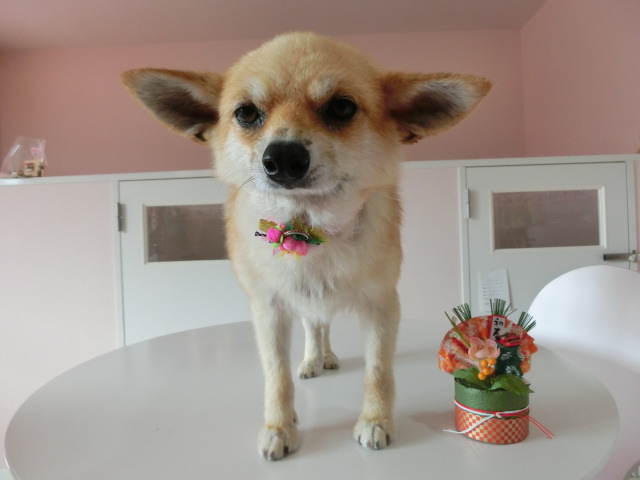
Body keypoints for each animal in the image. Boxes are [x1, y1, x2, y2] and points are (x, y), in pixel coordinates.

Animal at [122, 32, 490, 460]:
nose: (282, 156)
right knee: (315, 324)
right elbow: (276, 375)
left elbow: (378, 371)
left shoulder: (382, 307)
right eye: (245, 113)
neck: (309, 228)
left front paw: (376, 420)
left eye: (342, 107)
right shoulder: (269, 312)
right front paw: (280, 427)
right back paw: (316, 358)